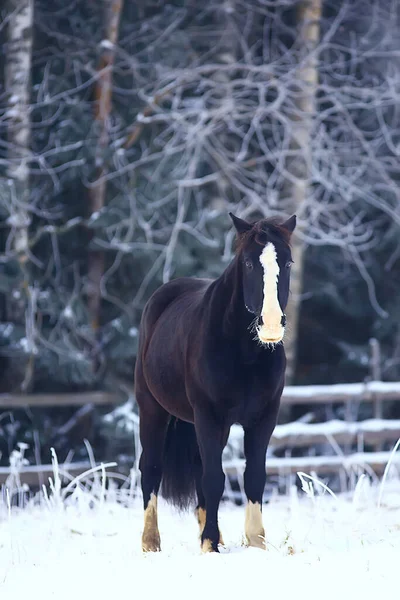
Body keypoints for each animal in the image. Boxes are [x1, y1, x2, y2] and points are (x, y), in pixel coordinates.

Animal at [136, 212, 296, 552]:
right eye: (248, 263)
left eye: (288, 263)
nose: (271, 325)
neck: (244, 354)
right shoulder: (209, 415)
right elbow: (214, 479)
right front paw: (210, 544)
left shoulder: (263, 418)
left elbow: (253, 477)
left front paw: (255, 542)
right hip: (152, 409)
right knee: (151, 468)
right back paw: (151, 541)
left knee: (198, 469)